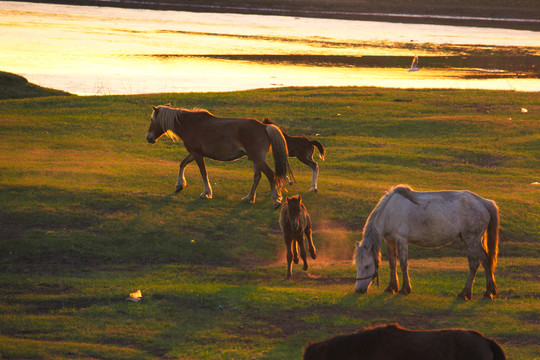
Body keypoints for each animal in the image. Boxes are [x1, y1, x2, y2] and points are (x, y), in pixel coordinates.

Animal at [147, 105, 292, 207]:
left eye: (152, 119)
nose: (149, 138)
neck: (191, 124)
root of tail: (264, 126)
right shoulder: (194, 153)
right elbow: (182, 163)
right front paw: (179, 185)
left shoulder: (197, 154)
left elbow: (203, 173)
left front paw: (206, 193)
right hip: (256, 159)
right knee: (257, 177)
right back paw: (249, 198)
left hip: (257, 158)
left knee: (270, 174)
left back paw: (276, 200)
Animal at [352, 184, 500, 300]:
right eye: (357, 265)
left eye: (366, 266)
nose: (358, 290)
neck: (390, 211)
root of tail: (483, 202)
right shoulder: (389, 241)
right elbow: (392, 264)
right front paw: (391, 287)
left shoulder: (401, 240)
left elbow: (403, 264)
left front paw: (405, 289)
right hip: (476, 241)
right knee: (485, 261)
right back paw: (489, 291)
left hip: (471, 241)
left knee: (474, 264)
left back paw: (465, 293)